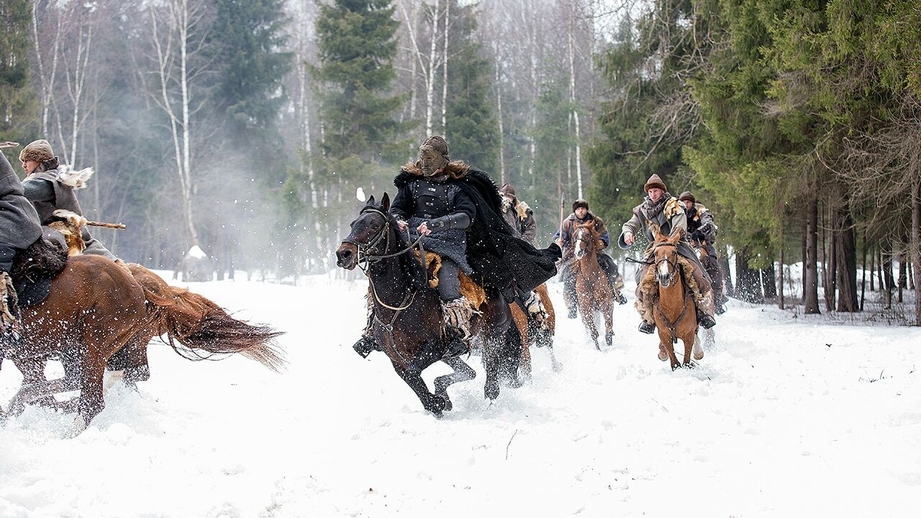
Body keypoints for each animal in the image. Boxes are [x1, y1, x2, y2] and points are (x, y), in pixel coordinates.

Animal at [336, 195, 512, 418]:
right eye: (353, 224)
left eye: (374, 225)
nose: (343, 254)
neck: (398, 304)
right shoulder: (397, 360)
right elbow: (415, 382)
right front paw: (439, 402)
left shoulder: (434, 348)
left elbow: (414, 373)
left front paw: (439, 401)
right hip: (452, 355)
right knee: (468, 372)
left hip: (493, 336)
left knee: (491, 379)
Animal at [568, 221, 612, 352]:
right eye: (575, 235)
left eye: (587, 234)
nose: (578, 252)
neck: (590, 278)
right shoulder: (585, 306)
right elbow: (593, 331)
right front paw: (597, 348)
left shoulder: (605, 301)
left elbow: (608, 320)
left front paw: (609, 339)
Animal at [648, 234, 704, 372]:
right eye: (655, 253)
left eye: (674, 252)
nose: (664, 276)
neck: (671, 306)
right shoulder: (664, 334)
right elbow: (675, 363)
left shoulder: (689, 335)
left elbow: (686, 361)